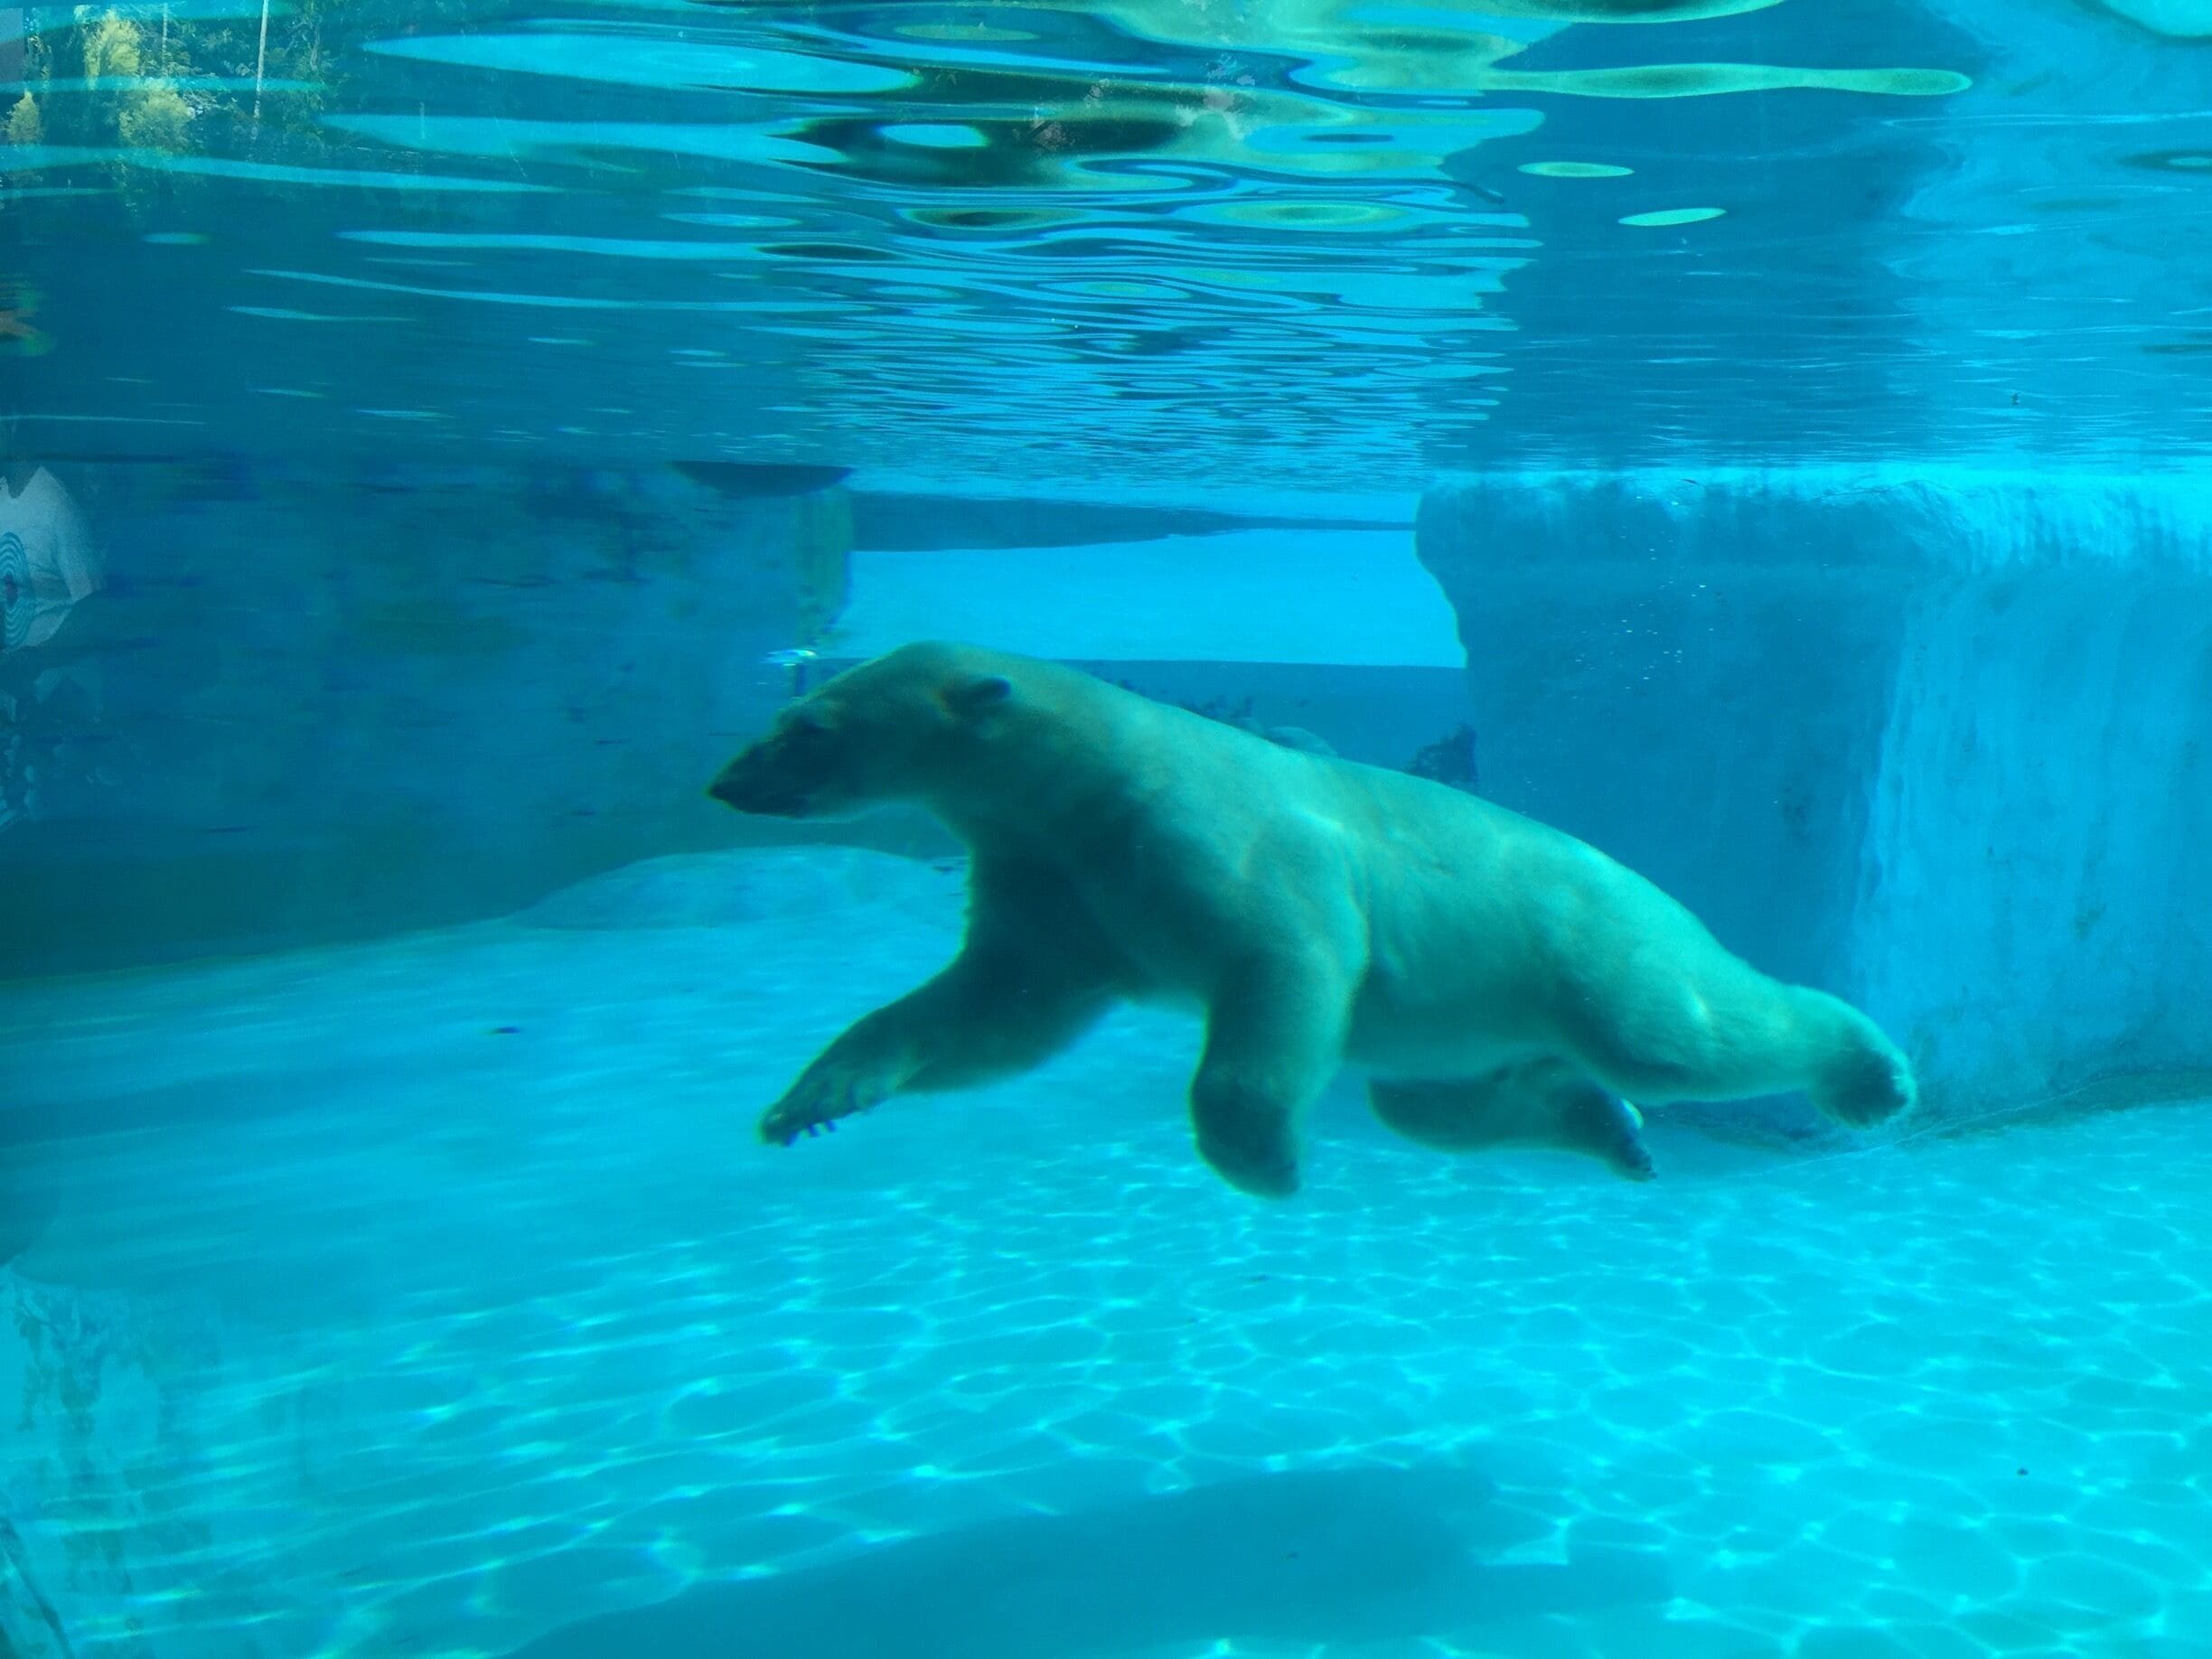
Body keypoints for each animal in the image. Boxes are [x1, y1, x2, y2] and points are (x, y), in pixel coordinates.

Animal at [707, 641, 1916, 1197]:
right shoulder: (1058, 885)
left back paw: (1871, 1073)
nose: (724, 783)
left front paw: (1267, 1159)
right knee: (1437, 1098)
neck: (1104, 778)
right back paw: (1607, 1131)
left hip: (1583, 942)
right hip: (1470, 1020)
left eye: (809, 726)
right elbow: (995, 1012)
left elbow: (1285, 971)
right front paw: (813, 1101)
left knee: (1670, 1036)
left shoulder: (1219, 842)